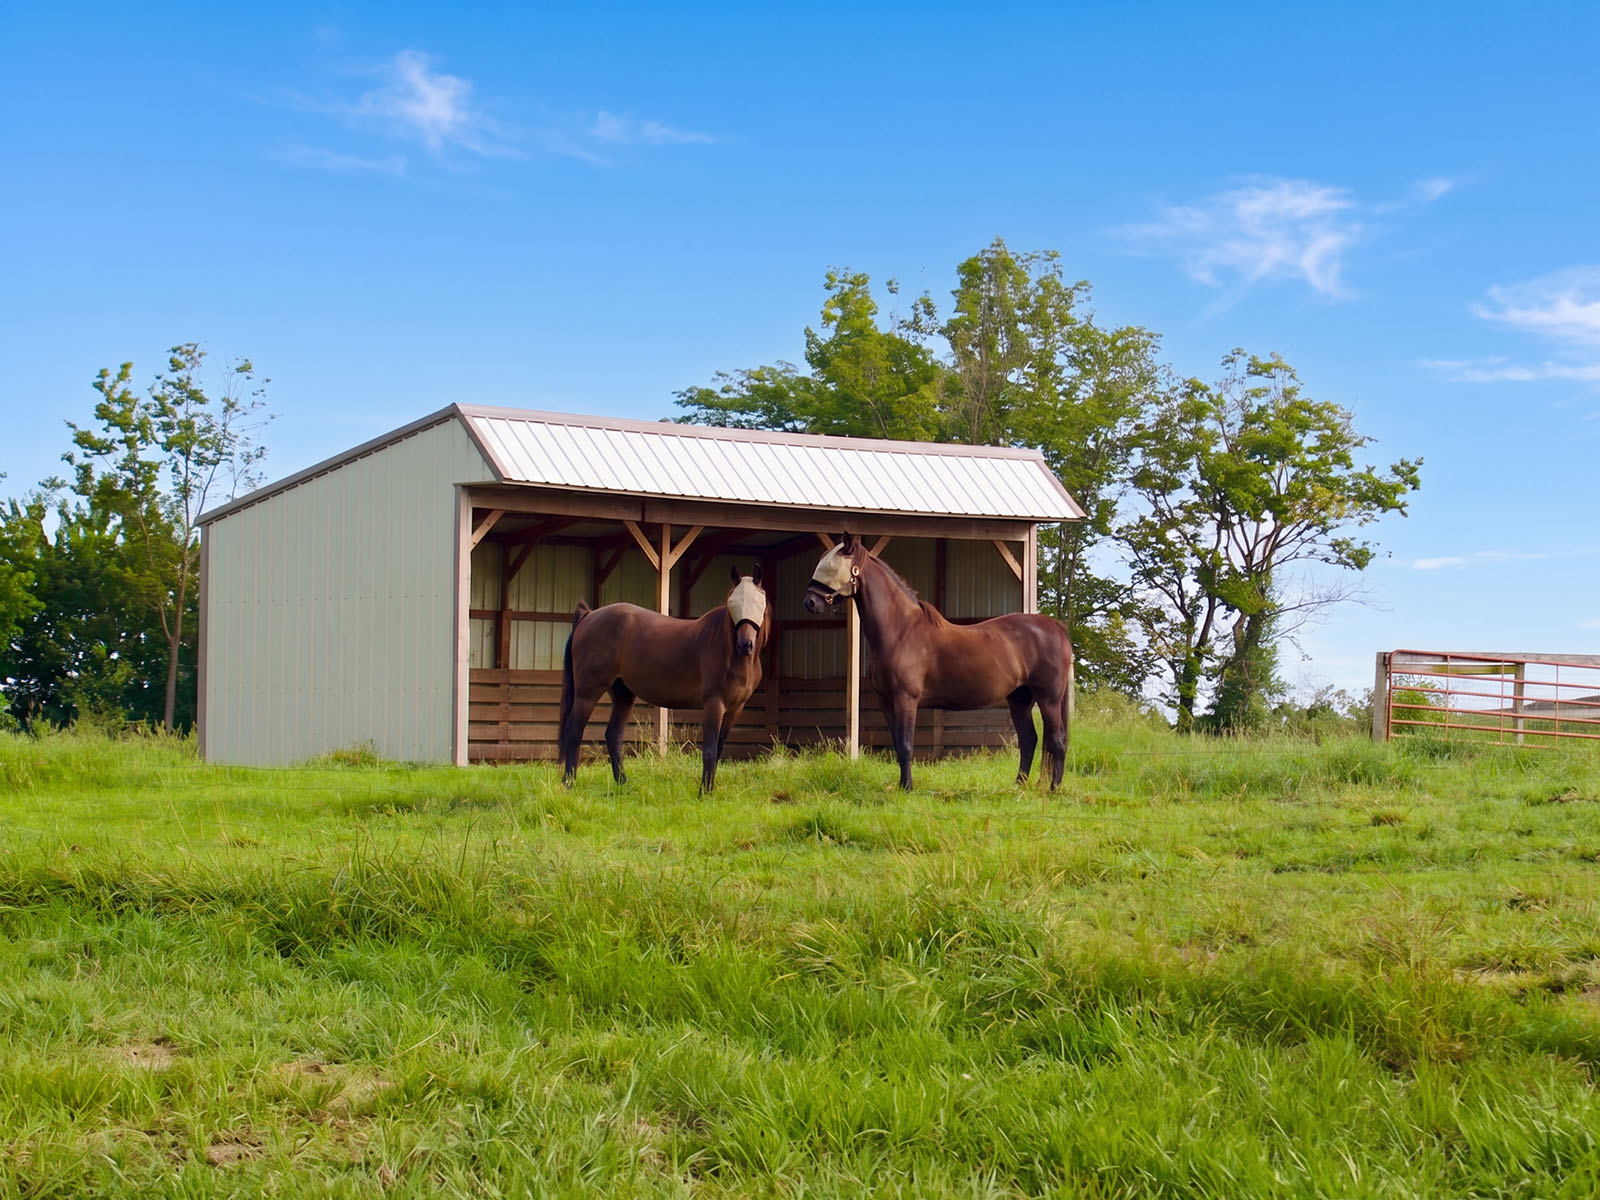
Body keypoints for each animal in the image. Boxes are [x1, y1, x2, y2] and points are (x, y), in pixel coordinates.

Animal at [559, 566, 770, 793]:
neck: (729, 651)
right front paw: (703, 793)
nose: (746, 644)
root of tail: (589, 615)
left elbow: (719, 749)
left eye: (759, 602)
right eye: (732, 602)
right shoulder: (714, 704)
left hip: (623, 694)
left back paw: (623, 785)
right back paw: (569, 784)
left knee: (613, 735)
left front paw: (709, 790)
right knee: (574, 732)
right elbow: (710, 751)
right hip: (588, 692)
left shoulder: (735, 708)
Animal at [803, 533, 1073, 791]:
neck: (900, 630)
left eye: (831, 567)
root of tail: (1055, 626)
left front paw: (907, 788)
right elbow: (897, 746)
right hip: (1020, 698)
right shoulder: (886, 702)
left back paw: (1053, 788)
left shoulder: (906, 699)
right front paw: (901, 786)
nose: (810, 603)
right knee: (1029, 740)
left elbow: (906, 746)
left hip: (1048, 698)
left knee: (1057, 739)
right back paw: (1018, 786)